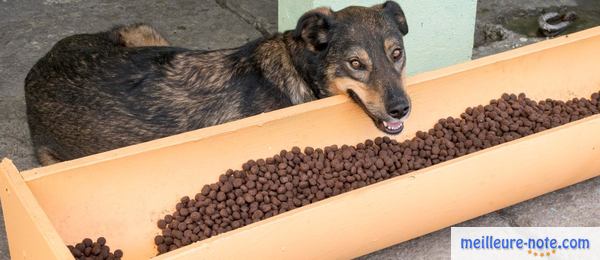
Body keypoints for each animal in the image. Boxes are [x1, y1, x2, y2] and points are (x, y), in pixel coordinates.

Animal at [23, 1, 408, 166]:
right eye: (356, 64)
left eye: (397, 54)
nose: (402, 108)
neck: (298, 69)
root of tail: (35, 71)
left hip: (148, 35)